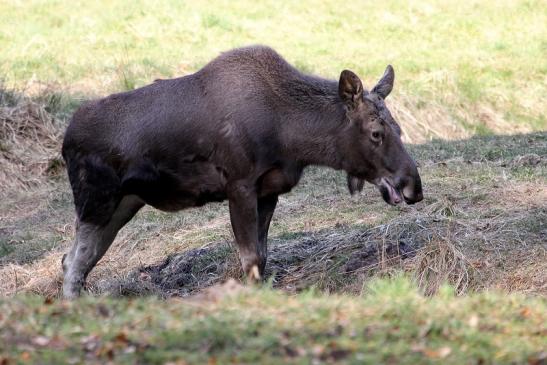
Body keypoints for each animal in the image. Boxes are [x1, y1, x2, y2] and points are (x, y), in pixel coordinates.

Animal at [63, 45, 424, 298]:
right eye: (376, 133)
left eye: (399, 128)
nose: (413, 187)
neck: (292, 136)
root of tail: (66, 140)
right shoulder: (239, 185)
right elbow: (249, 259)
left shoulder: (269, 189)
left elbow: (261, 257)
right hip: (95, 200)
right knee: (75, 263)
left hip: (123, 203)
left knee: (74, 260)